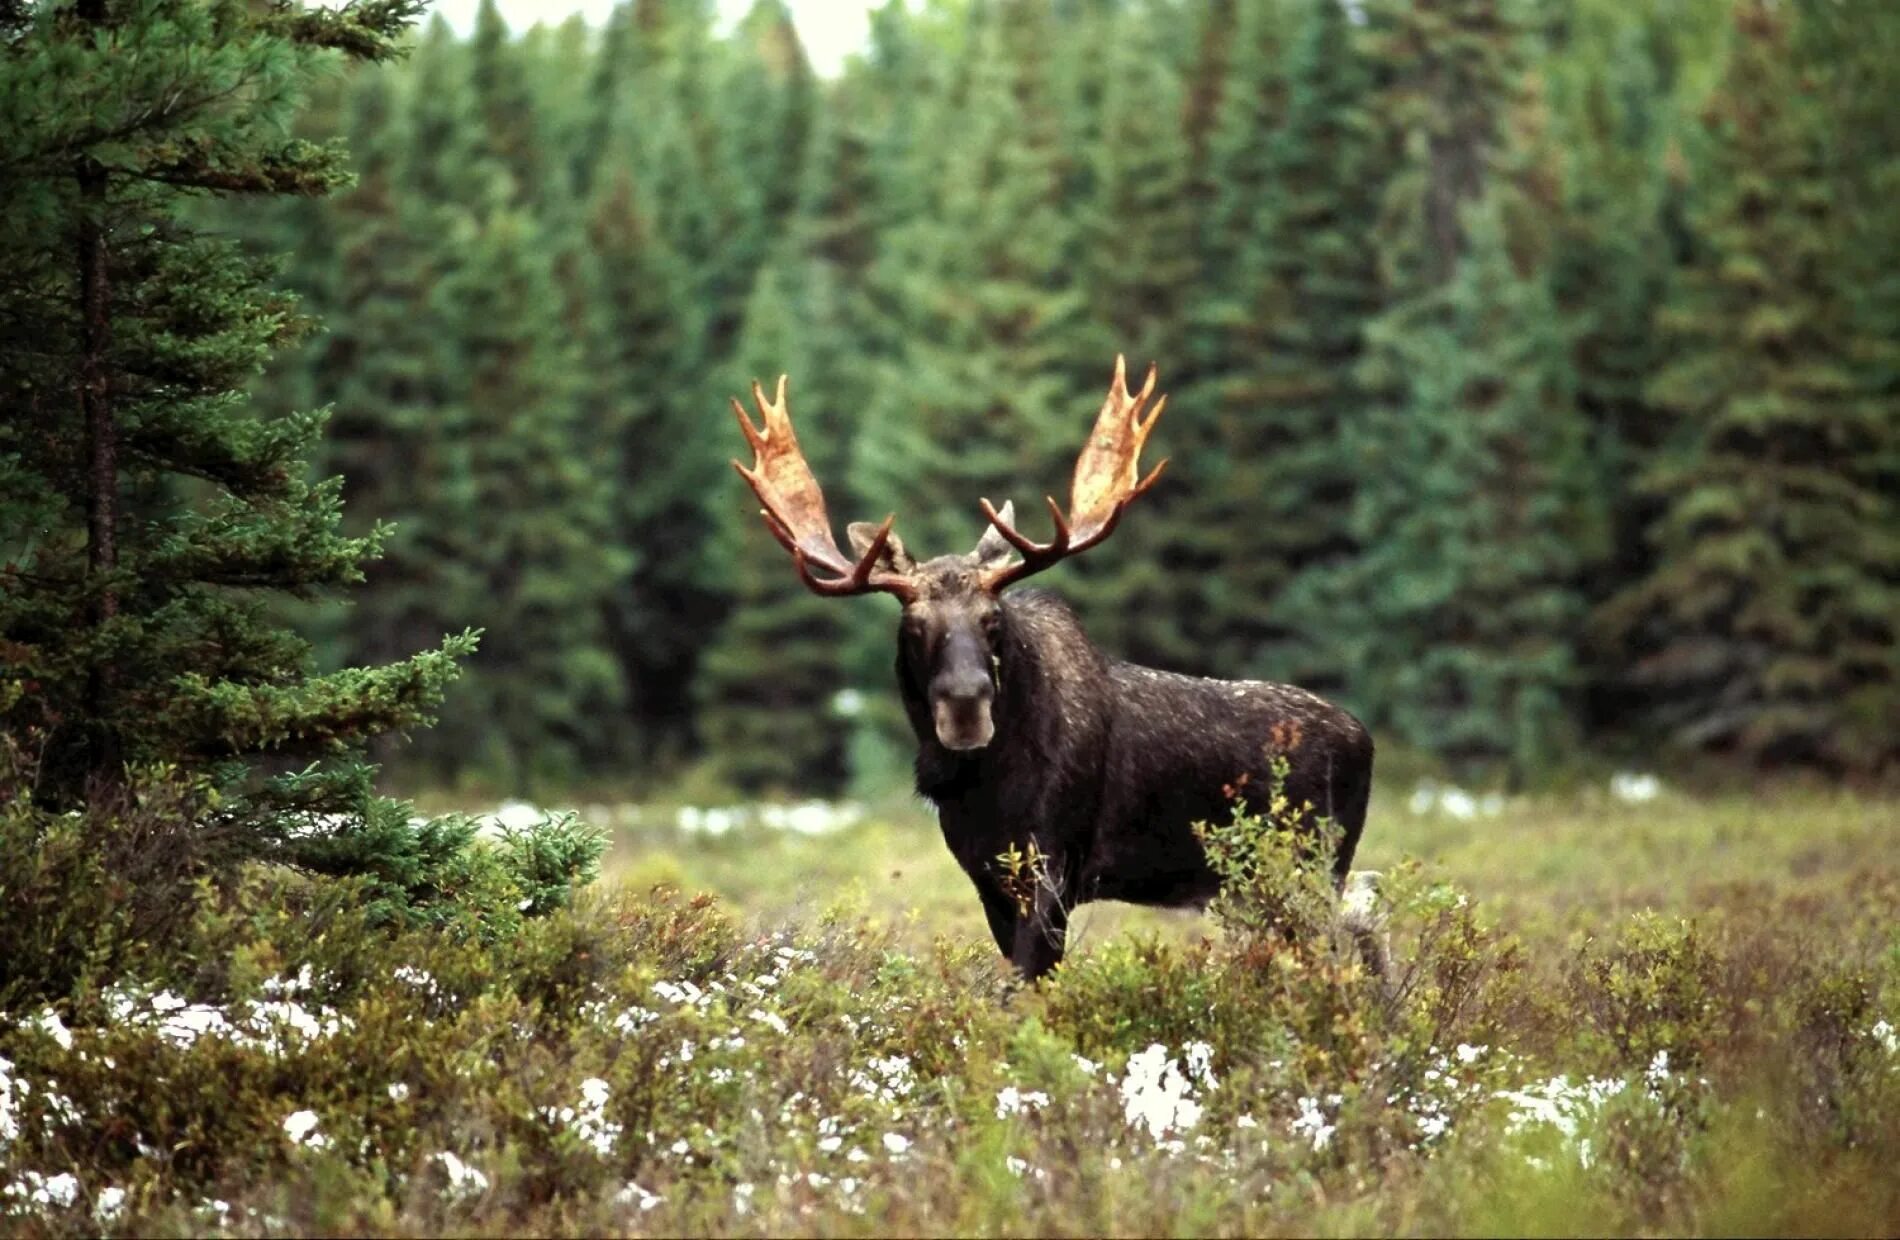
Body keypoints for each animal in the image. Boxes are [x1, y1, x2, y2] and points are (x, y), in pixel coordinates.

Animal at [725, 355, 1368, 979]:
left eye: (992, 618)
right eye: (913, 626)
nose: (966, 706)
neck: (981, 784)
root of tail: (1366, 739)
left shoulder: (1055, 866)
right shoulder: (988, 878)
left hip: (1313, 869)